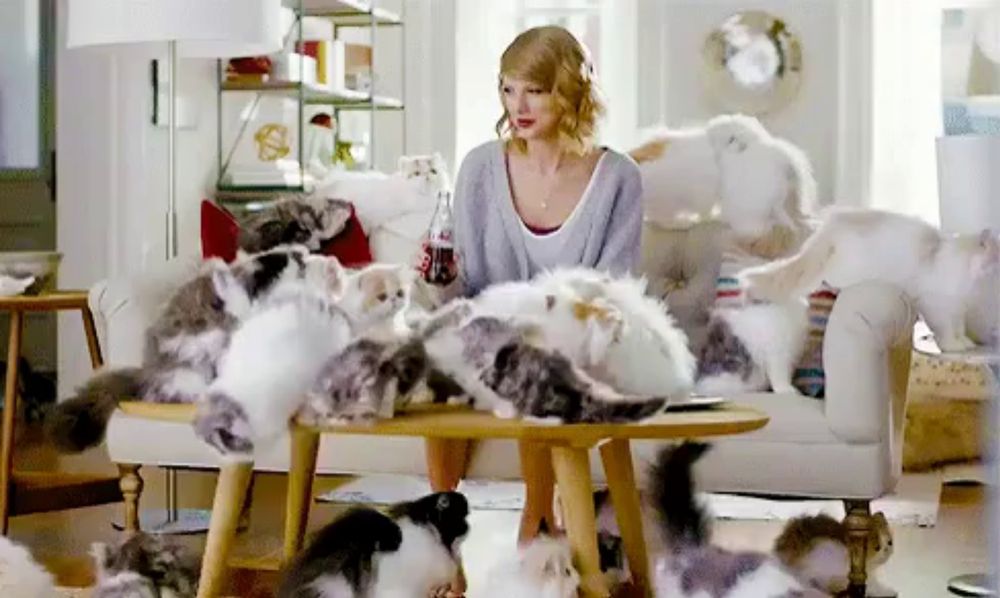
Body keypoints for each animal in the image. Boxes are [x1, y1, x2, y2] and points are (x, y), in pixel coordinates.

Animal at [744, 210, 1000, 354]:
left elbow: (959, 329)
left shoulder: (958, 309)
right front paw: (953, 346)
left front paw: (964, 343)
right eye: (997, 255)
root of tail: (830, 227)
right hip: (846, 267)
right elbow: (947, 331)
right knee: (828, 274)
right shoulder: (939, 306)